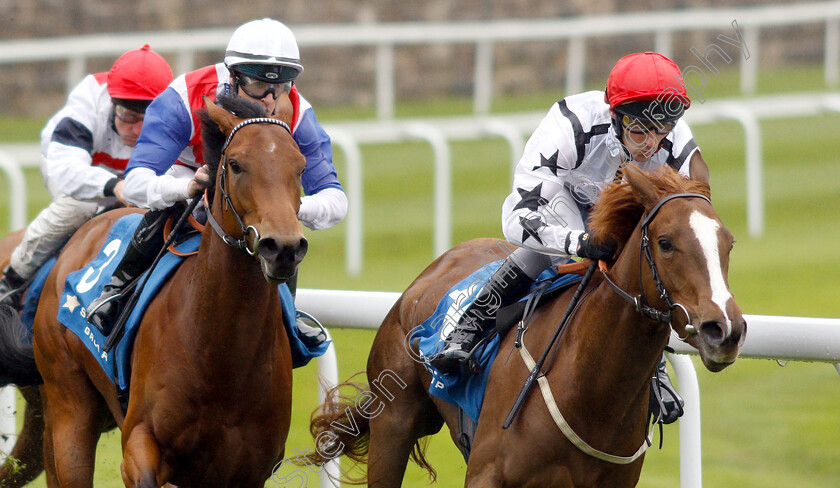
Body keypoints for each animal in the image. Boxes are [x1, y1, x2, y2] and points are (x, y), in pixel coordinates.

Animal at [0, 93, 306, 486]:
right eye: (236, 164)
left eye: (299, 166)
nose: (282, 247)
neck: (221, 357)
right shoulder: (140, 442)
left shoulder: (248, 468)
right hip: (67, 400)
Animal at [312, 165, 744, 488]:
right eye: (666, 242)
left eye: (729, 243)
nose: (724, 330)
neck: (590, 394)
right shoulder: (486, 476)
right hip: (394, 420)